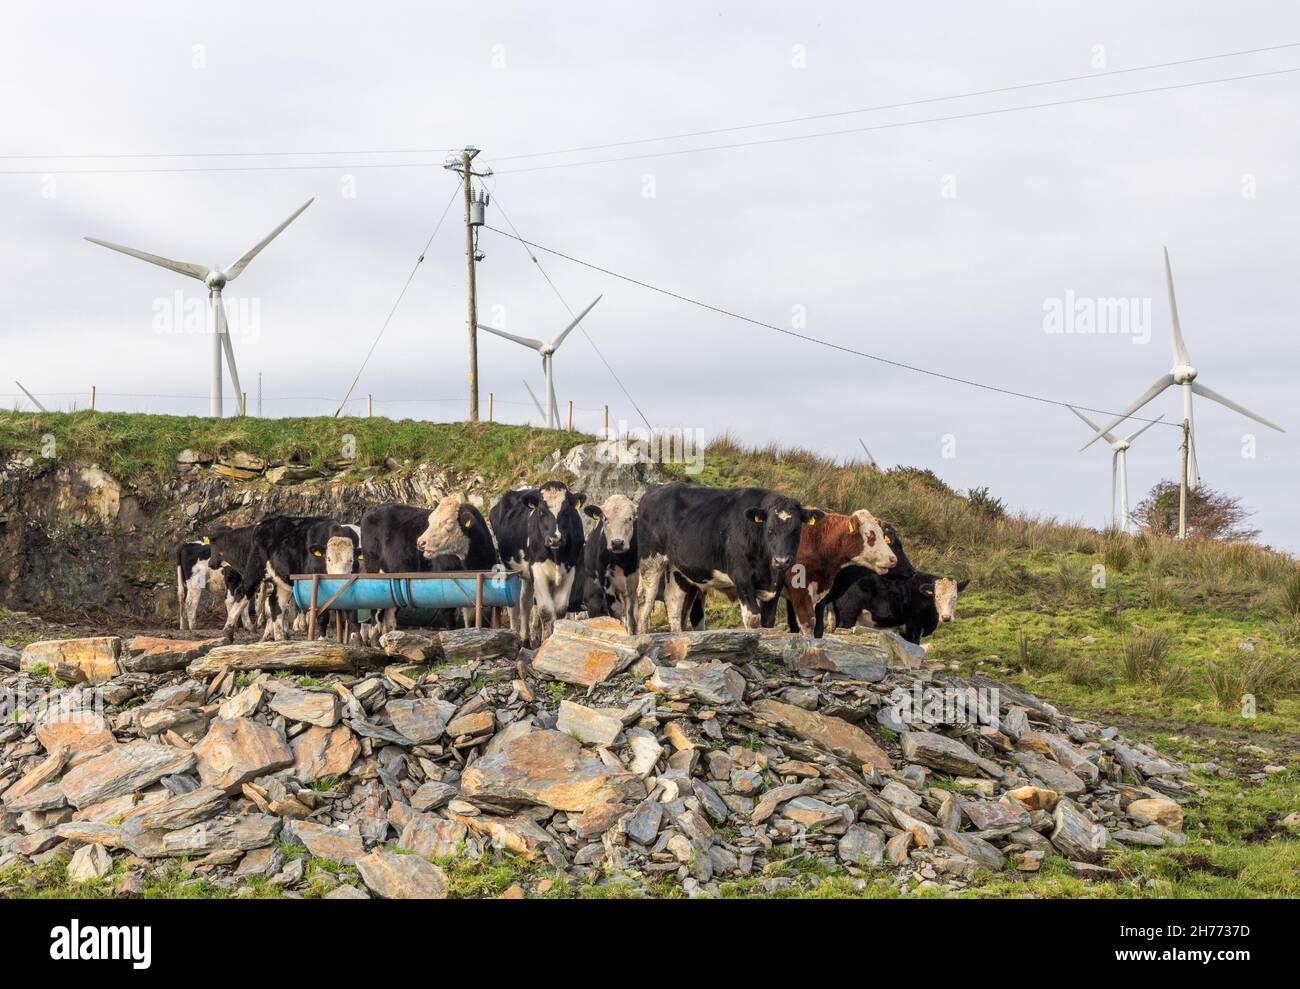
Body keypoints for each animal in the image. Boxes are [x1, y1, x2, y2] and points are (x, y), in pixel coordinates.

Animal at [488, 480, 590, 647]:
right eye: (541, 511)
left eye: (566, 512)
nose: (555, 539)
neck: (556, 555)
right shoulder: (538, 571)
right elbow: (546, 611)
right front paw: (546, 641)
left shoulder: (570, 571)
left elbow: (560, 610)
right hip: (508, 569)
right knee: (514, 606)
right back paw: (515, 636)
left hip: (527, 576)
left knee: (525, 602)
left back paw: (525, 640)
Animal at [631, 480, 821, 631]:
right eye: (770, 530)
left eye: (796, 530)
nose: (781, 560)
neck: (767, 570)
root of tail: (656, 489)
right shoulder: (742, 577)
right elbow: (753, 619)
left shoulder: (776, 585)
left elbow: (768, 622)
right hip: (651, 560)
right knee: (645, 599)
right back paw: (642, 634)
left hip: (677, 568)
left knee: (673, 603)